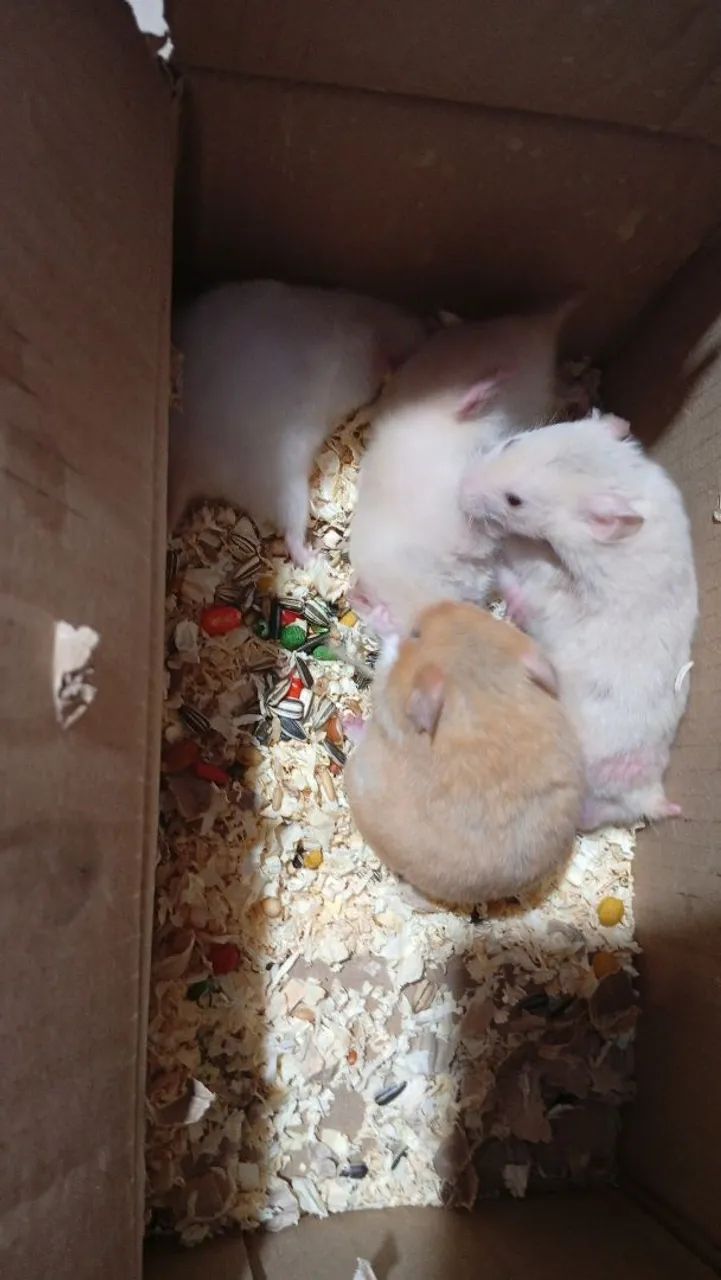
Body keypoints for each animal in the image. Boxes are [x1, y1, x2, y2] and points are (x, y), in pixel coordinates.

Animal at [344, 602, 584, 904]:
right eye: (478, 612)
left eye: (416, 634)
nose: (433, 605)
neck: (477, 688)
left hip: (359, 770)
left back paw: (348, 721)